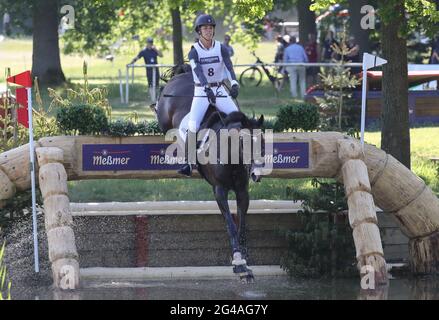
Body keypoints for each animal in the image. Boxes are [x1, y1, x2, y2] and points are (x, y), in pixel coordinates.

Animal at [155, 65, 264, 282]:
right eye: (244, 143)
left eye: (263, 143)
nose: (256, 175)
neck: (233, 160)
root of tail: (183, 73)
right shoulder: (219, 190)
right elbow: (230, 224)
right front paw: (238, 263)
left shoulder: (242, 191)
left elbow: (242, 224)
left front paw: (245, 262)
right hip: (165, 116)